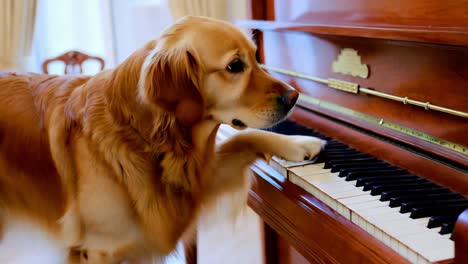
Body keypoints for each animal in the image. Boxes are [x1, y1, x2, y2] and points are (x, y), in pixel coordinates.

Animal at [0, 15, 322, 262]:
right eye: (234, 66)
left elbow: (243, 138)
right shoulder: (98, 248)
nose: (294, 96)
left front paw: (299, 143)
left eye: (255, 58)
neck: (147, 135)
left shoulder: (198, 178)